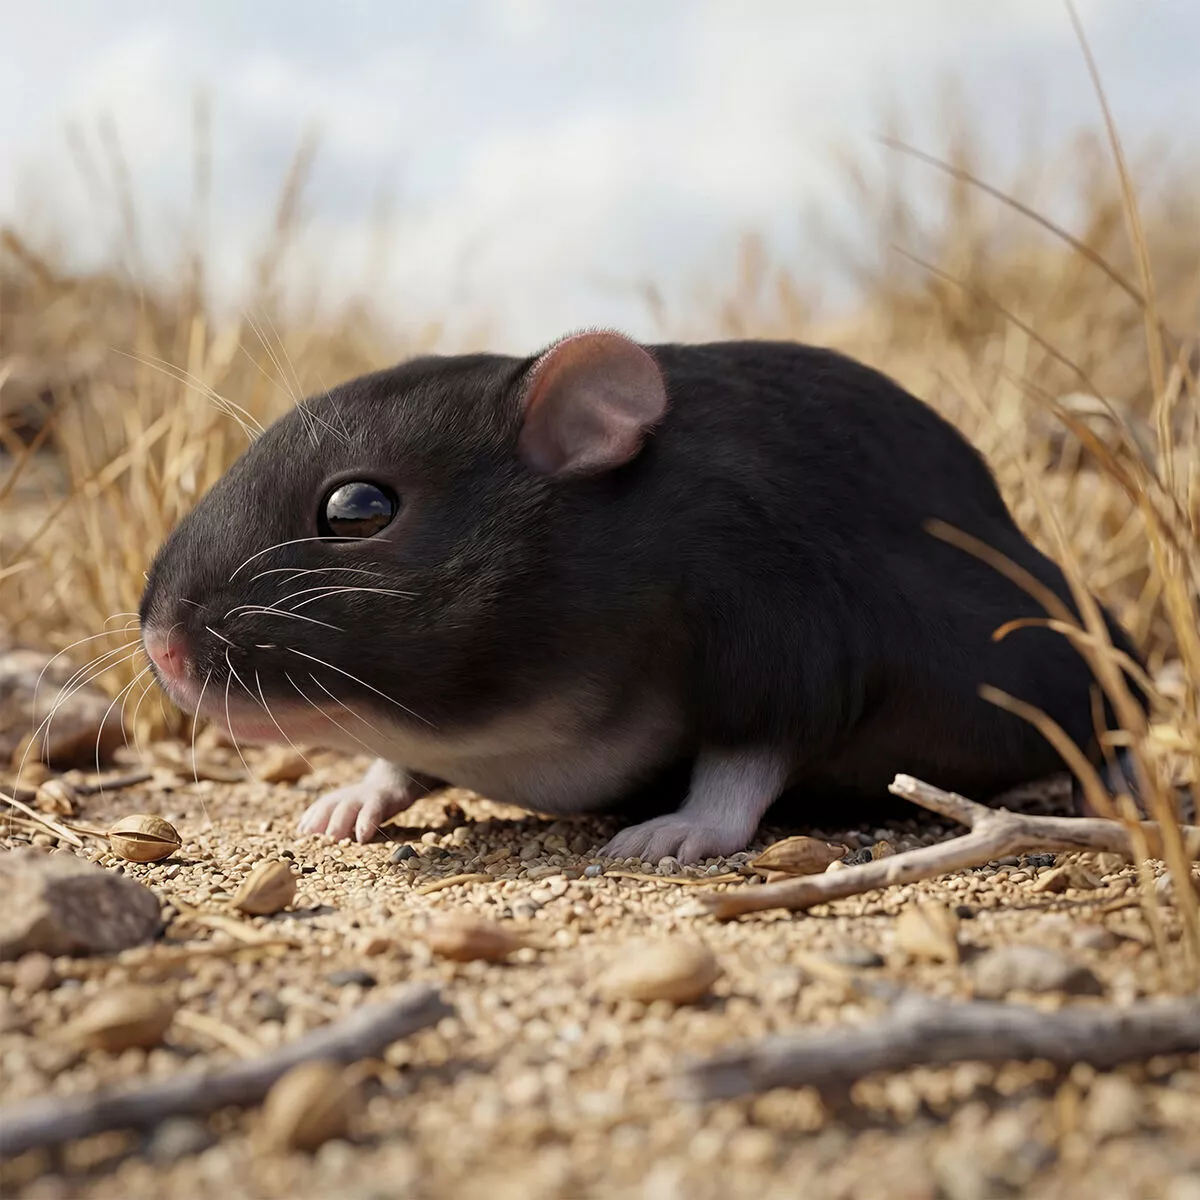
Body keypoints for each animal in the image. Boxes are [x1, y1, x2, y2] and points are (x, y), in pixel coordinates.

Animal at [138, 331, 1143, 863]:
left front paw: (684, 827)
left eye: (358, 508)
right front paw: (356, 795)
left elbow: (759, 744)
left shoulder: (774, 604)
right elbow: (398, 763)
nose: (160, 649)